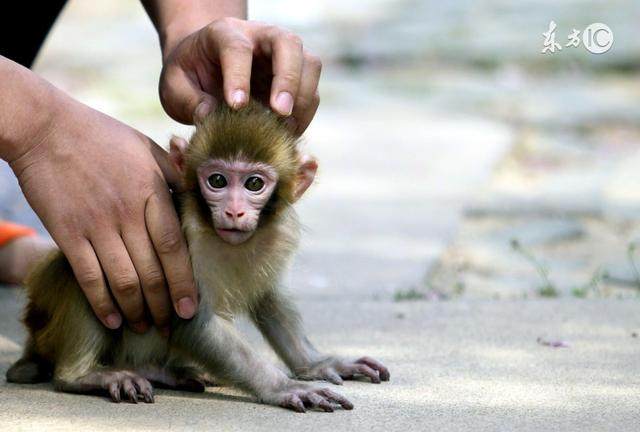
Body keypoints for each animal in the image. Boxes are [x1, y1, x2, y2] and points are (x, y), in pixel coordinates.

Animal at [6, 100, 390, 412]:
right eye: (217, 180)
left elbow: (270, 298)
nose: (234, 212)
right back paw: (84, 375)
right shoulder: (184, 241)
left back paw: (162, 371)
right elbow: (192, 320)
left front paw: (319, 364)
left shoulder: (276, 236)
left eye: (254, 184)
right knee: (91, 276)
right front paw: (283, 386)